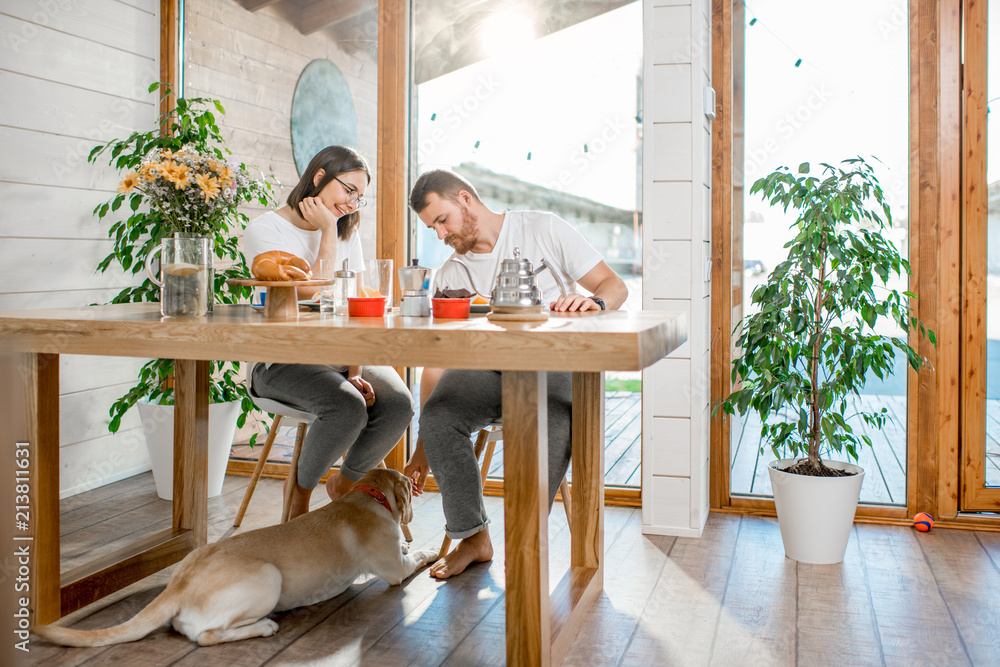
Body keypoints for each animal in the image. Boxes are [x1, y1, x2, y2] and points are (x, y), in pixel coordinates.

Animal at [35, 470, 438, 648]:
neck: (369, 495)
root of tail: (178, 585)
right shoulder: (395, 570)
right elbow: (416, 554)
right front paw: (432, 551)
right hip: (268, 578)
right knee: (207, 636)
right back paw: (263, 627)